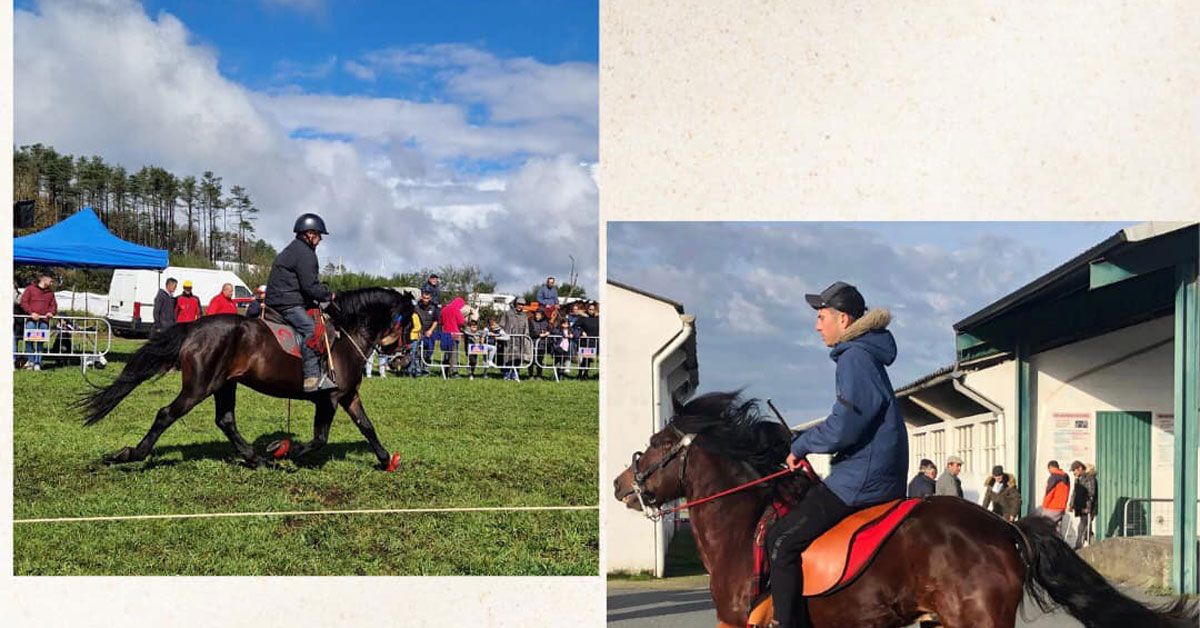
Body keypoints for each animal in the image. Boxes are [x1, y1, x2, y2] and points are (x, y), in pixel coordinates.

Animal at [79, 286, 415, 468]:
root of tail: (194, 327)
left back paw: (254, 457)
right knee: (166, 414)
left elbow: (367, 427)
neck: (346, 335)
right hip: (199, 387)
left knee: (225, 421)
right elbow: (320, 439)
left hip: (224, 384)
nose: (402, 359)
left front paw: (385, 459)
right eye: (409, 322)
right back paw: (132, 454)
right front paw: (285, 452)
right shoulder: (329, 398)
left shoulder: (348, 396)